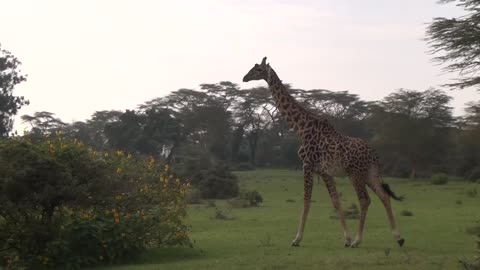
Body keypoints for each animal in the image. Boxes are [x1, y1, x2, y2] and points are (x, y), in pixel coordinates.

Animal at [244, 58, 404, 248]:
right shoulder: (325, 172)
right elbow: (335, 201)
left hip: (356, 174)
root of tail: (374, 155)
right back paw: (398, 238)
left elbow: (307, 201)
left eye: (258, 69)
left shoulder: (307, 165)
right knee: (384, 196)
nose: (244, 77)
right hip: (369, 173)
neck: (301, 127)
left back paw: (358, 240)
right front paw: (346, 238)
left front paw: (297, 239)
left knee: (365, 200)